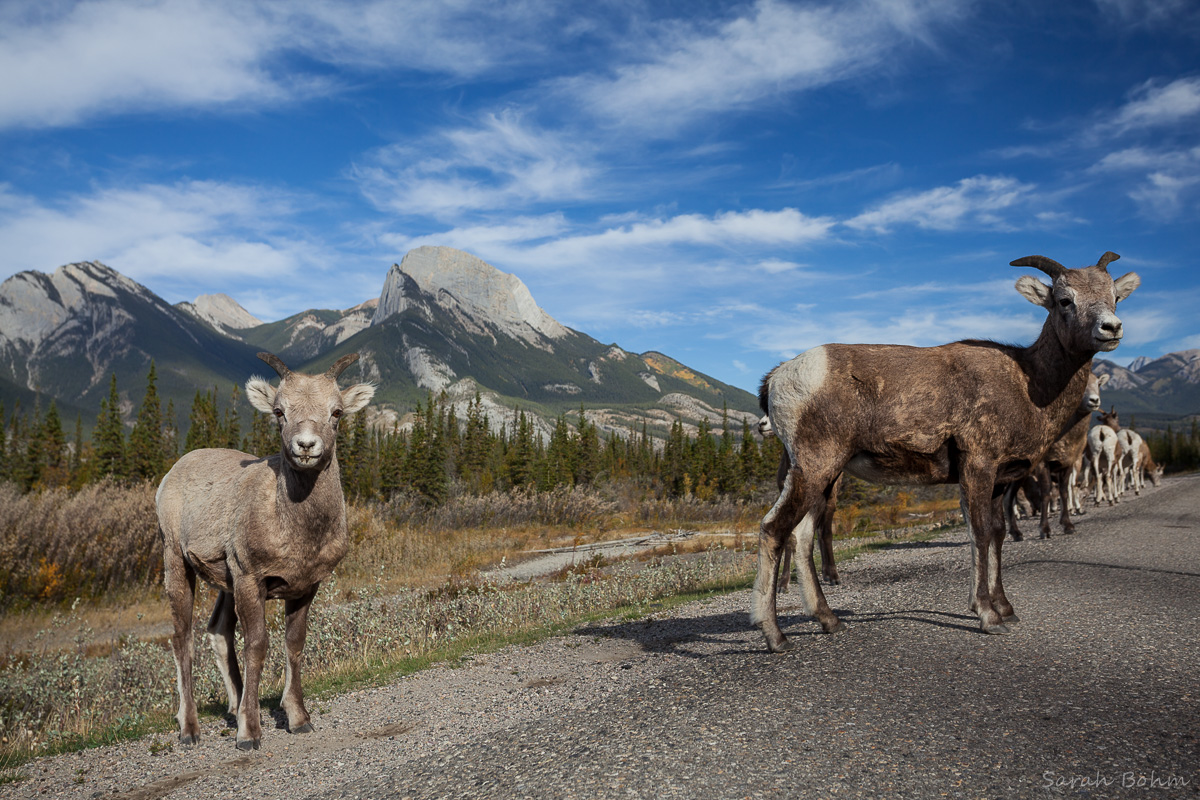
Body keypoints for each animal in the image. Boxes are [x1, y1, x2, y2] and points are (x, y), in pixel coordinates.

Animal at [157, 352, 374, 753]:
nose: (306, 446)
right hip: (176, 561)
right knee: (182, 638)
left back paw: (235, 704)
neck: (296, 530)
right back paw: (190, 728)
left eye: (336, 412)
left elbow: (294, 644)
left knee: (218, 631)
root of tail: (171, 474)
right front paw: (249, 733)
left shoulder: (305, 586)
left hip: (224, 582)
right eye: (279, 411)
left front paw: (298, 719)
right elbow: (257, 646)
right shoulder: (250, 578)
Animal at [753, 250, 1137, 652]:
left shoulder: (1001, 480)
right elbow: (980, 533)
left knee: (802, 536)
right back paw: (775, 636)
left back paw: (829, 621)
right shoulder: (978, 466)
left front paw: (1006, 609)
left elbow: (998, 533)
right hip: (815, 466)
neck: (1029, 384)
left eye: (1115, 297)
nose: (1111, 328)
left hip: (825, 475)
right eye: (1065, 300)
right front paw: (987, 616)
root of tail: (777, 378)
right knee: (774, 529)